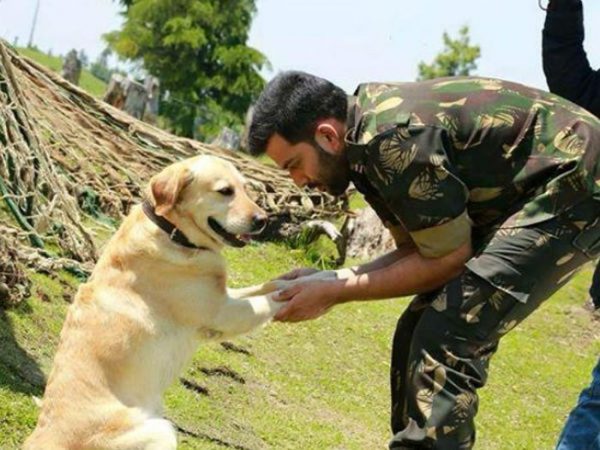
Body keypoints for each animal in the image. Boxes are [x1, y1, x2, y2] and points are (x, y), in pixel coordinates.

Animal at [24, 156, 292, 450]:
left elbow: (268, 286)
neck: (172, 231)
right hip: (158, 429)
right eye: (225, 191)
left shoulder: (224, 296)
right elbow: (269, 300)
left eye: (245, 188)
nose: (263, 220)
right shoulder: (223, 312)